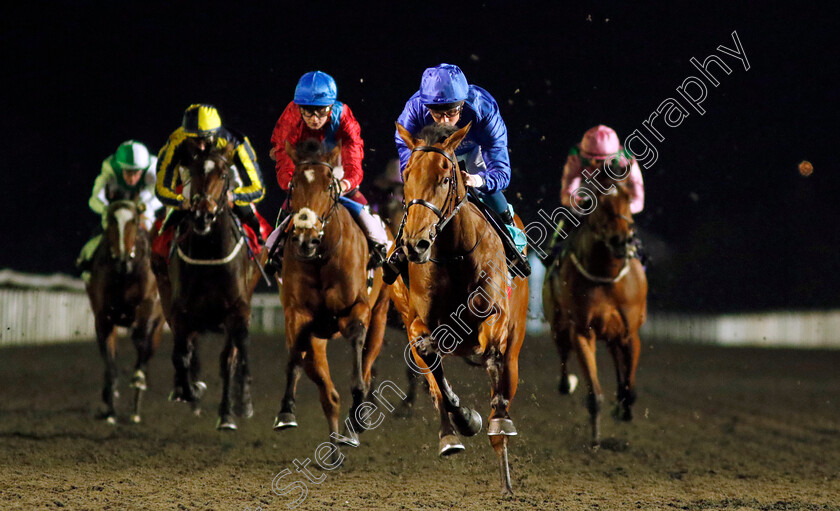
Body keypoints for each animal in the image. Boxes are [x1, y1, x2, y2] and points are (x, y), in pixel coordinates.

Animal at [85, 199, 164, 424]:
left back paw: (136, 405)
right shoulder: (103, 318)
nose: (122, 260)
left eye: (134, 221)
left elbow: (141, 337)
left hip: (159, 325)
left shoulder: (148, 307)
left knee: (146, 351)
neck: (125, 276)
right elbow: (110, 363)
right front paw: (110, 410)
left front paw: (137, 381)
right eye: (111, 221)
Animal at [153, 140, 262, 432]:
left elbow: (232, 358)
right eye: (192, 172)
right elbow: (181, 356)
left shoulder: (237, 311)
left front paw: (234, 409)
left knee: (234, 354)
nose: (203, 215)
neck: (210, 255)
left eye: (223, 175)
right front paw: (191, 391)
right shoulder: (181, 313)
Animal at [276, 138, 394, 462]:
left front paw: (359, 411)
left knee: (367, 361)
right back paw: (332, 450)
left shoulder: (358, 309)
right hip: (318, 341)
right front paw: (286, 410)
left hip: (380, 317)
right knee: (328, 394)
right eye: (293, 185)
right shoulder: (297, 314)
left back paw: (355, 423)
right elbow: (294, 354)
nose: (305, 240)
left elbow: (356, 346)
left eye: (330, 184)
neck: (321, 257)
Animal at [392, 122, 524, 494]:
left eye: (445, 177)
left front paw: (494, 420)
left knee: (504, 380)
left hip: (516, 345)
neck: (452, 255)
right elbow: (430, 357)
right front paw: (464, 420)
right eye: (407, 174)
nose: (415, 243)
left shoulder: (496, 316)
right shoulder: (416, 323)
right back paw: (450, 434)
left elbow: (492, 354)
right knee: (433, 379)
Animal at [540, 177, 648, 448]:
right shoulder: (582, 332)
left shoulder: (629, 334)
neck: (607, 276)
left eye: (628, 198)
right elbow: (594, 394)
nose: (622, 240)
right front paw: (596, 439)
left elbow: (629, 389)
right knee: (563, 356)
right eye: (599, 202)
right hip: (558, 326)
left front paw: (623, 409)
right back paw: (567, 383)